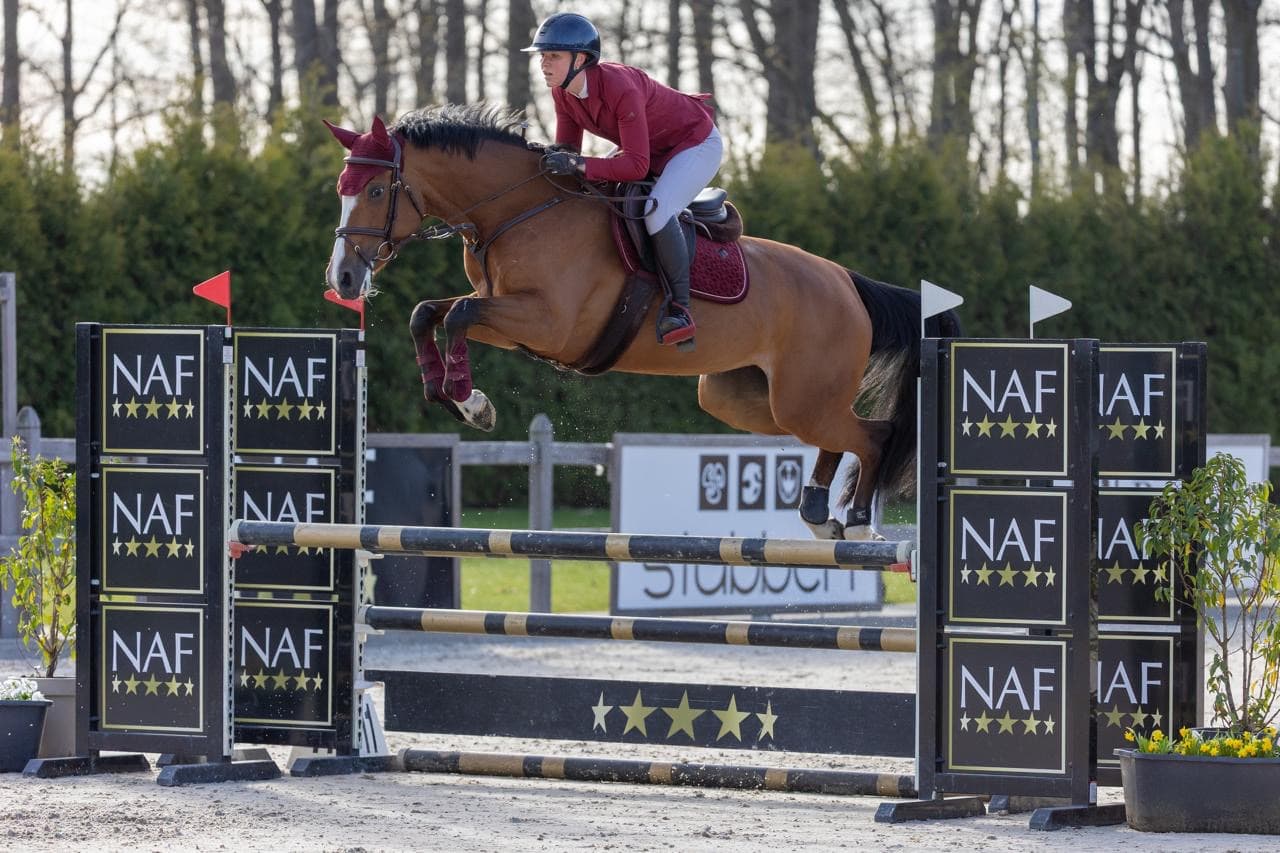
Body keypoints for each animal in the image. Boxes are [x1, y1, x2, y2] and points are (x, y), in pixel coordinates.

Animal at [323, 104, 960, 541]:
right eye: (340, 191)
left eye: (376, 189)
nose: (344, 280)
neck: (517, 211)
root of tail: (848, 283)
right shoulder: (510, 317)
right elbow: (429, 313)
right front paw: (448, 391)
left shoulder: (549, 323)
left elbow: (457, 314)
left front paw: (470, 402)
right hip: (747, 399)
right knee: (834, 434)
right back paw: (818, 512)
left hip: (802, 395)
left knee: (872, 435)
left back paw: (856, 520)